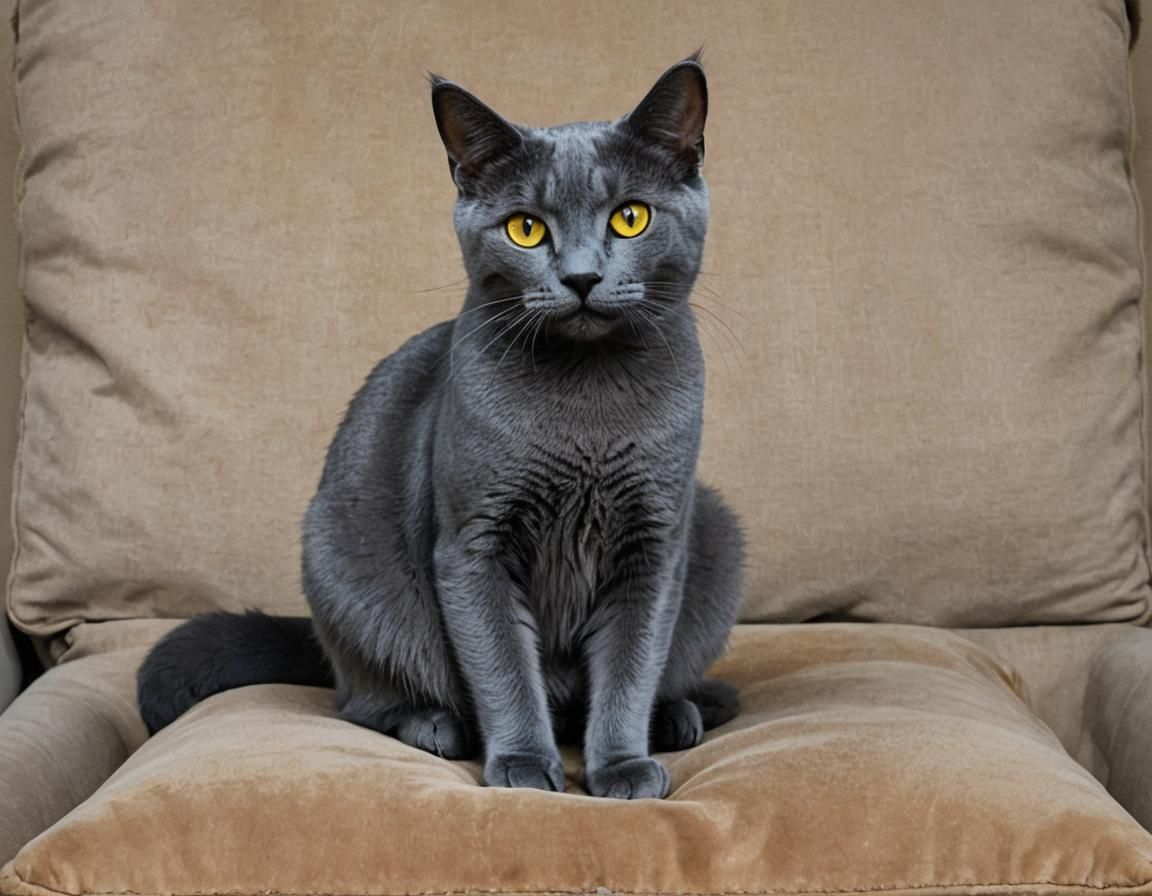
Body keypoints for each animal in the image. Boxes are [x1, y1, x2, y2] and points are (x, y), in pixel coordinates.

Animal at [137, 54, 746, 796]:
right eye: (525, 228)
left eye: (631, 218)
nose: (581, 277)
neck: (586, 409)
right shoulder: (471, 543)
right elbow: (503, 665)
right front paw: (522, 765)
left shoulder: (654, 545)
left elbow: (630, 668)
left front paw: (624, 766)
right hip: (343, 563)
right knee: (361, 698)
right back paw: (435, 725)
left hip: (715, 528)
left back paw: (681, 714)